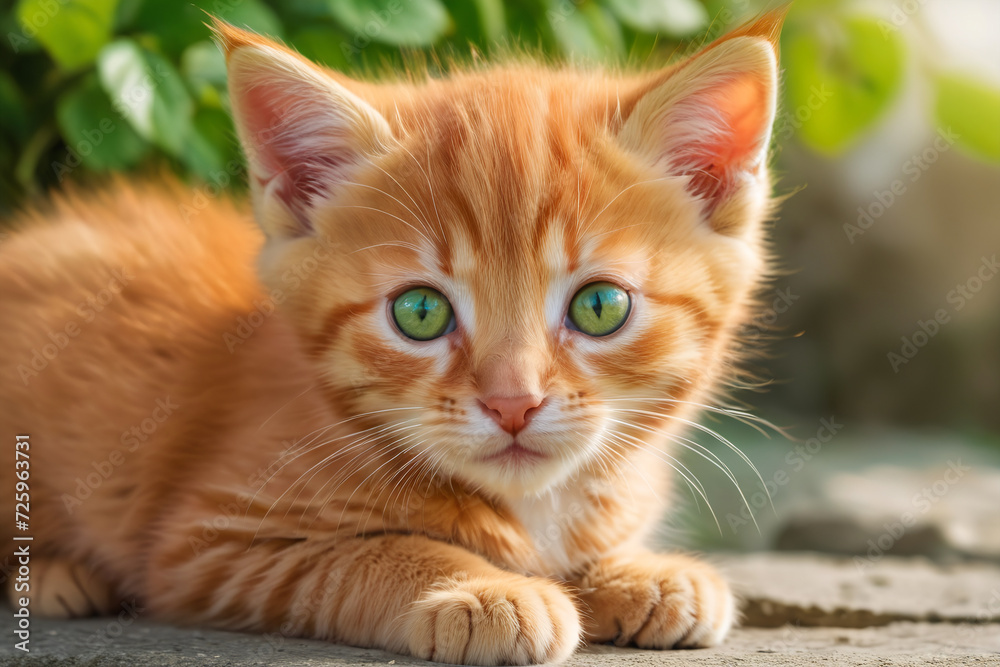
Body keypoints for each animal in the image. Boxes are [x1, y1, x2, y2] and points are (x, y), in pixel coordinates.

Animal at [0, 9, 784, 664]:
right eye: (420, 314)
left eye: (598, 306)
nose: (513, 403)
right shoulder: (209, 542)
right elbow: (371, 552)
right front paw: (482, 589)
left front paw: (642, 571)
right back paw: (55, 575)